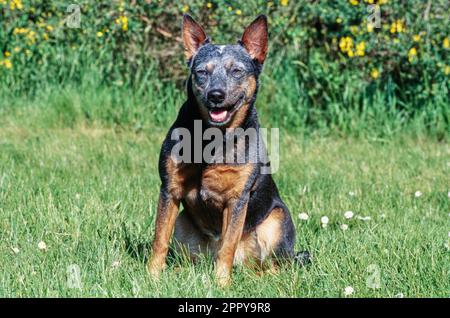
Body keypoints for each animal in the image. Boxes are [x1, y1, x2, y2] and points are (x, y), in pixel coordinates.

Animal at [148, 14, 310, 286]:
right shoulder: (170, 189)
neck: (213, 139)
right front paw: (152, 277)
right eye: (202, 72)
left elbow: (227, 246)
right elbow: (160, 238)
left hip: (277, 221)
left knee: (274, 266)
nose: (216, 95)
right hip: (183, 223)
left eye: (236, 71)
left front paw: (222, 283)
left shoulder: (237, 199)